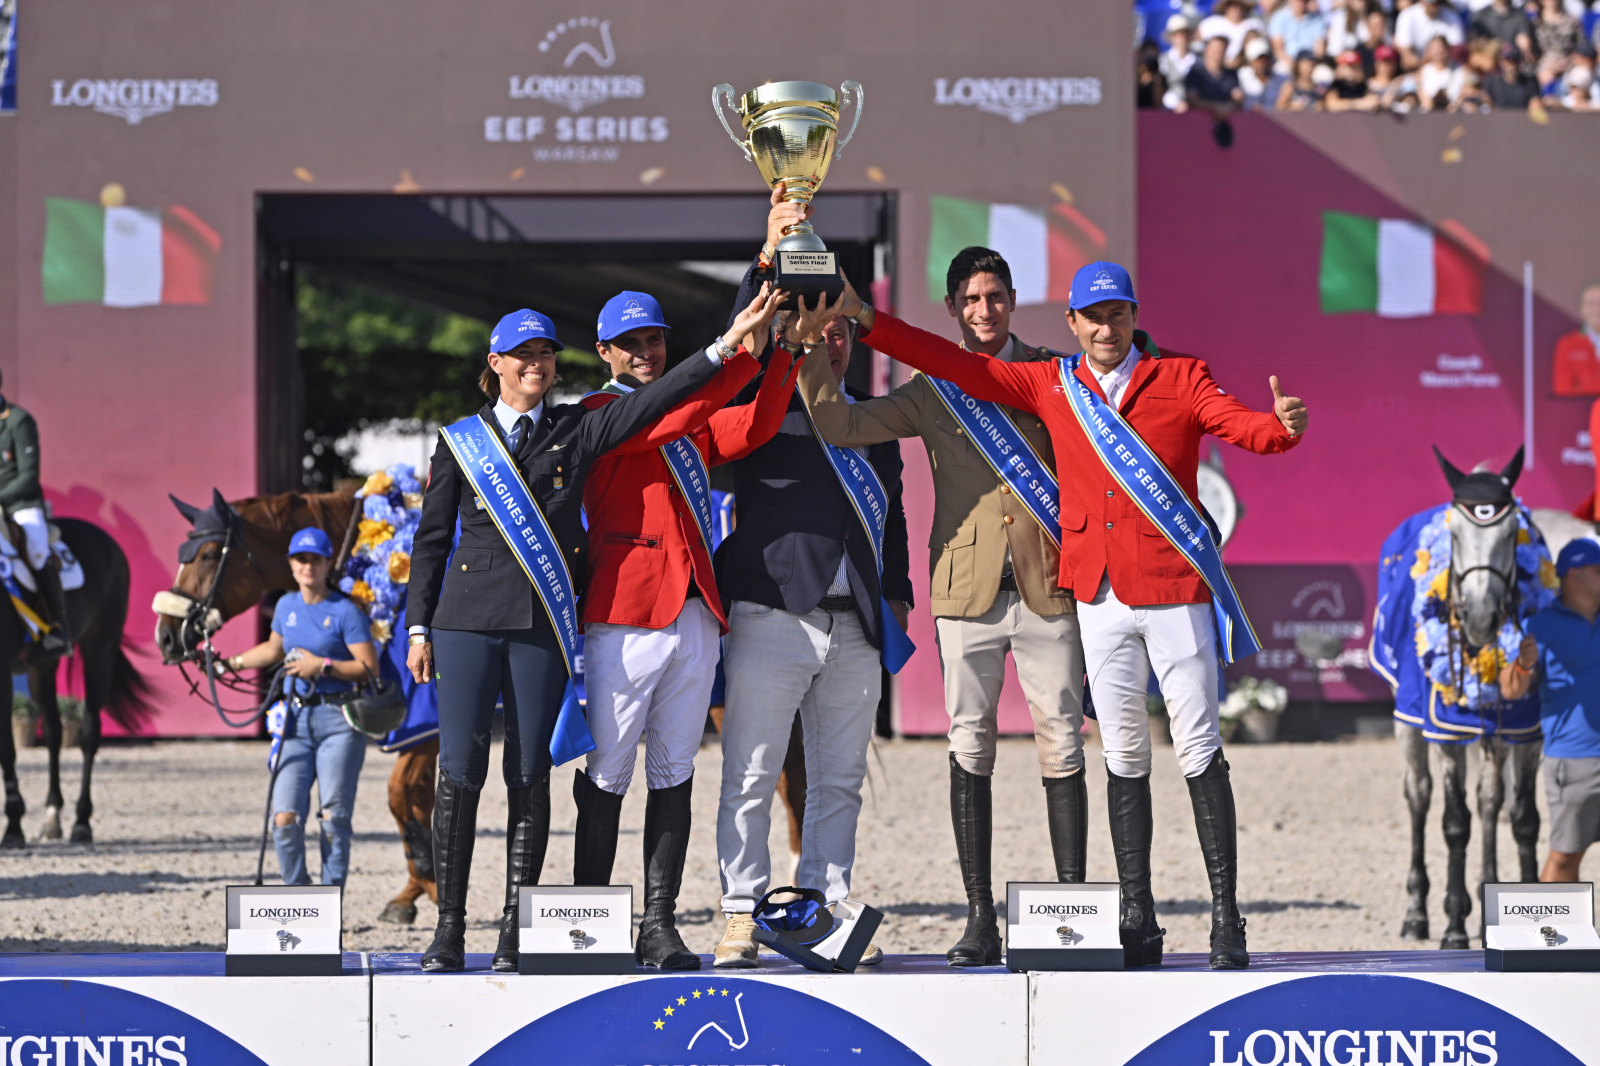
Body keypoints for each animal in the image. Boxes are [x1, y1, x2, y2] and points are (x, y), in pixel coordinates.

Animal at [154, 486, 438, 915]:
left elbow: (401, 795)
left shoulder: (424, 727)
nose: (167, 635)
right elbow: (418, 799)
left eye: (209, 555)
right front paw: (413, 893)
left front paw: (431, 884)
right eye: (180, 555)